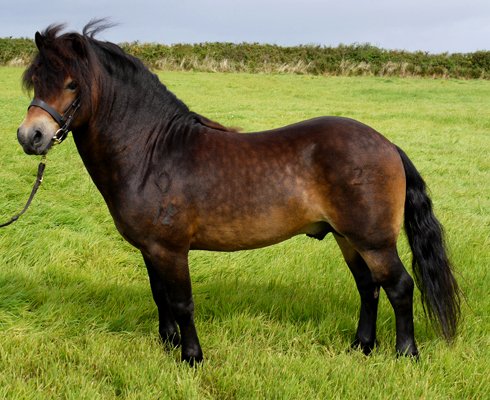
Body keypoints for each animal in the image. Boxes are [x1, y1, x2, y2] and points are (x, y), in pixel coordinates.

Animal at [16, 20, 460, 365]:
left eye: (72, 84)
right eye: (36, 81)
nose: (30, 136)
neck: (151, 151)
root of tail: (387, 145)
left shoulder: (171, 249)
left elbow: (182, 302)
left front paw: (191, 358)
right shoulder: (150, 248)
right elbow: (160, 296)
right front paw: (168, 345)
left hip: (373, 241)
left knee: (399, 287)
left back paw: (405, 354)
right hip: (348, 238)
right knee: (368, 288)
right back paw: (361, 347)